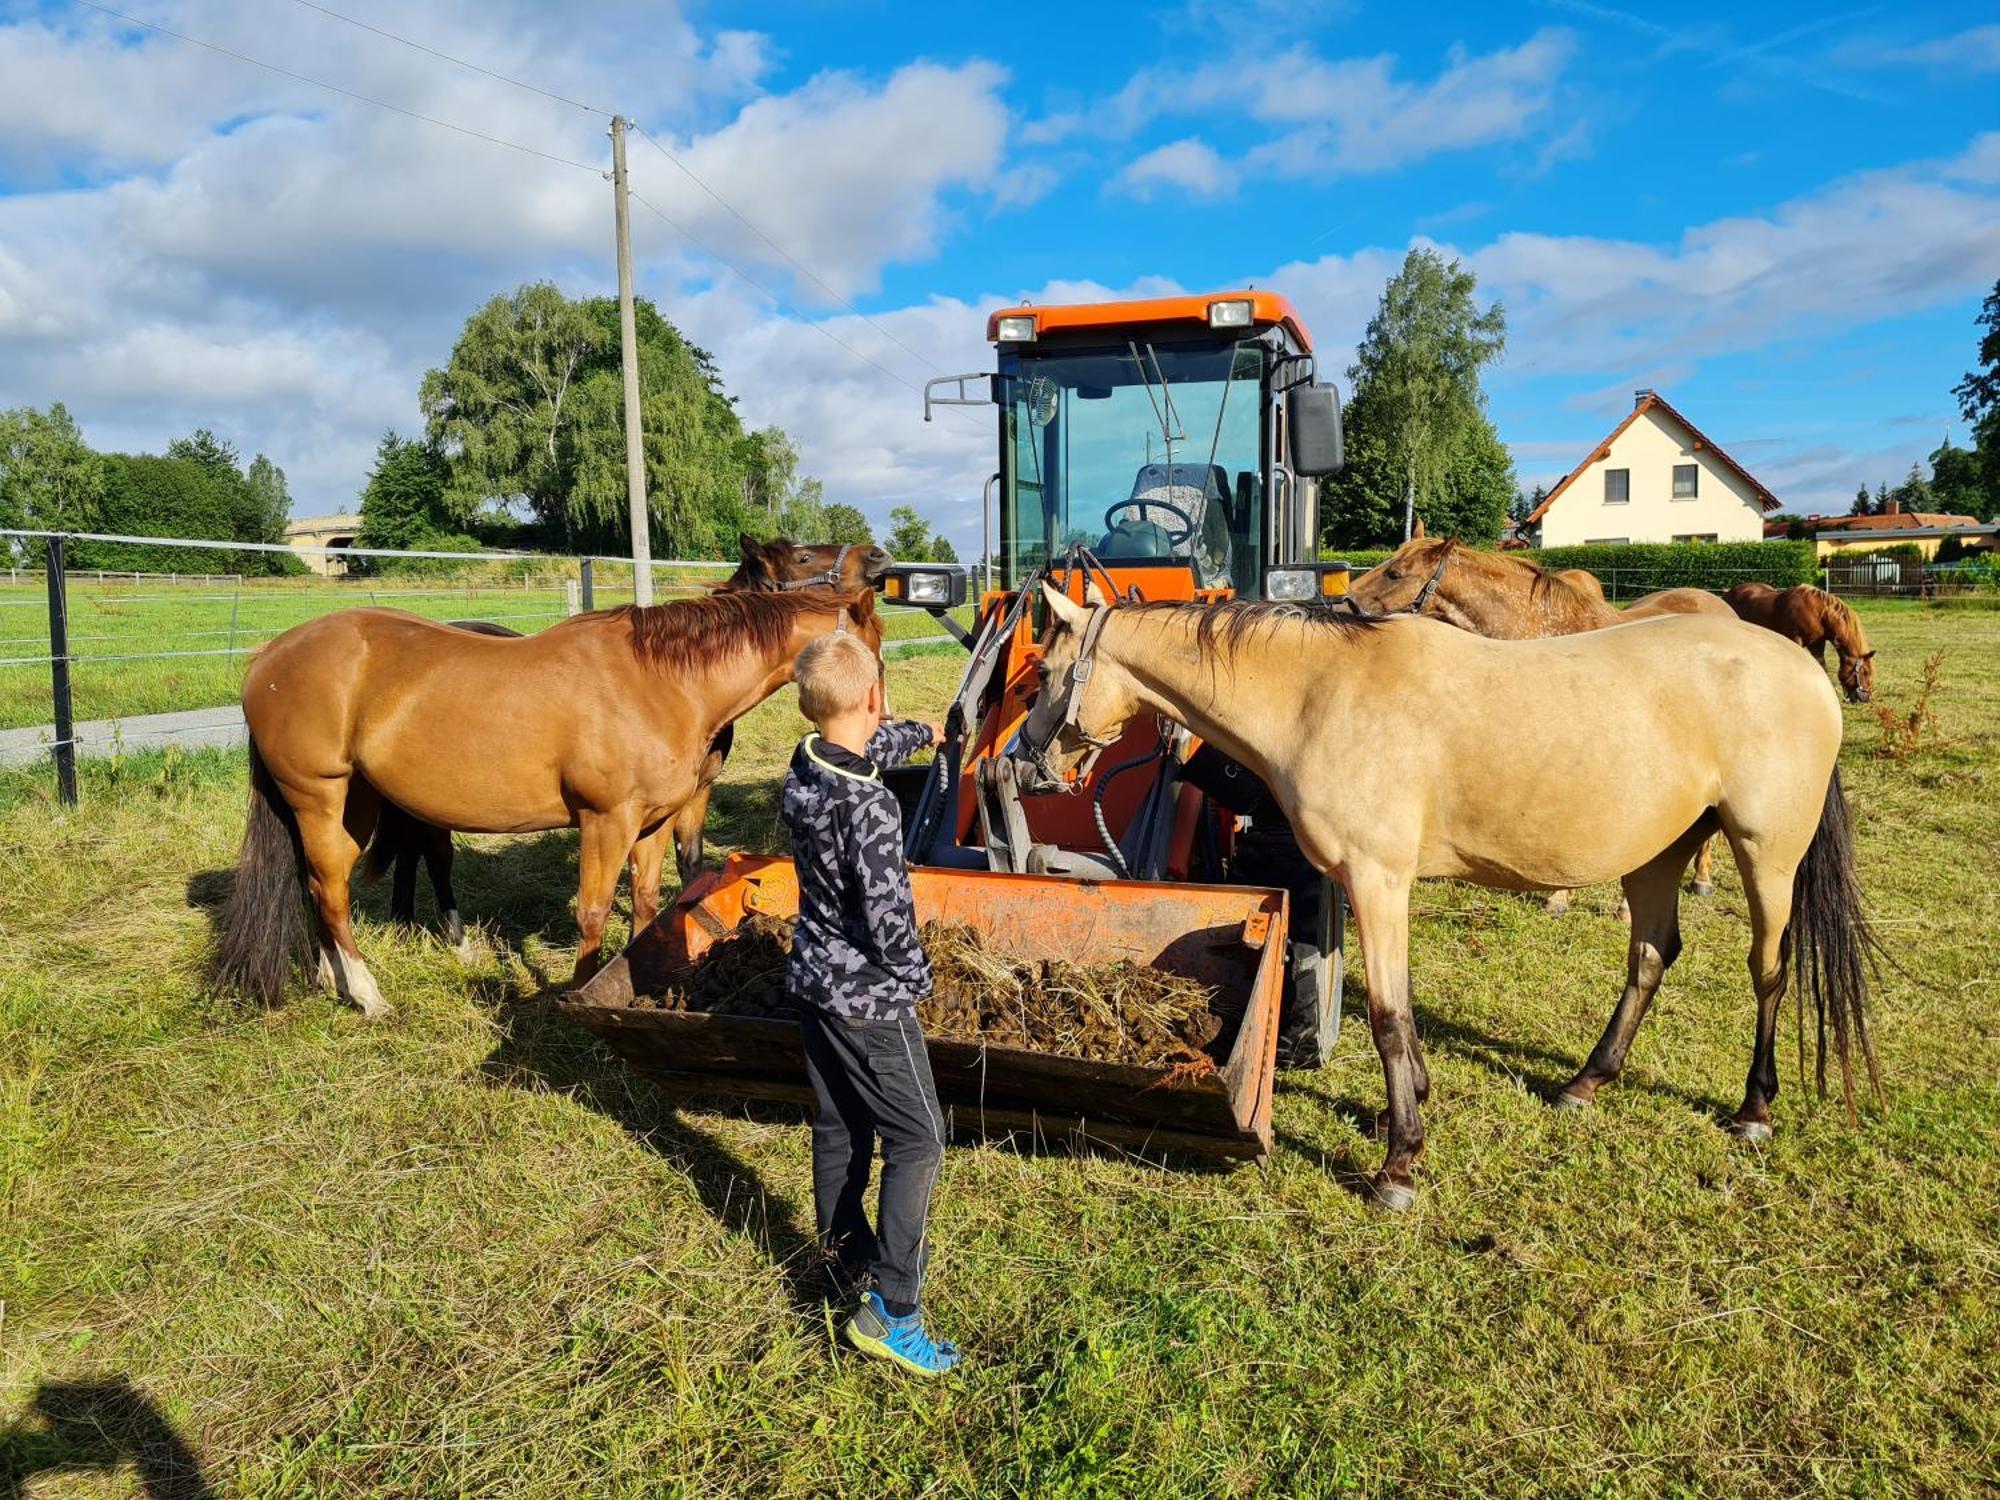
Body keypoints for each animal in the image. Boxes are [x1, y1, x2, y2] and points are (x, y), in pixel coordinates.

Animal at [209, 588, 884, 1024]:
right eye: (874, 656)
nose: (873, 734)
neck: (660, 682)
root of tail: (268, 659)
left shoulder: (653, 824)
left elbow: (645, 903)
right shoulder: (606, 822)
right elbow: (592, 912)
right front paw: (579, 995)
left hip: (351, 806)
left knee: (314, 885)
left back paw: (331, 978)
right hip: (320, 800)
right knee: (330, 891)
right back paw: (368, 994)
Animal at [378, 536, 896, 944]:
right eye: (805, 557)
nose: (878, 555)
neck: (682, 683)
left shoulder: (693, 794)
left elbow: (686, 866)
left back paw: (405, 924)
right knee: (433, 855)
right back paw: (454, 937)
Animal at [1720, 584, 1872, 708]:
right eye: (1865, 672)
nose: (1866, 698)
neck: (1818, 612)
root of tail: (1727, 594)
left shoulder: (1817, 644)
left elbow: (1822, 666)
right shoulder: (1795, 639)